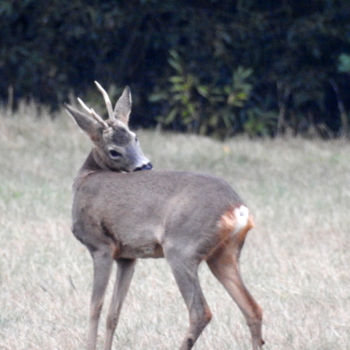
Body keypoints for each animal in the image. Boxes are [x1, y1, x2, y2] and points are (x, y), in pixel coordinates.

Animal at [64, 80, 264, 348]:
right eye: (115, 150)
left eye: (135, 137)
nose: (146, 165)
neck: (86, 177)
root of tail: (238, 208)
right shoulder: (127, 256)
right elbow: (114, 314)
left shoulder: (101, 245)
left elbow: (95, 307)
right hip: (224, 254)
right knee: (253, 308)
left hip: (182, 248)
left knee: (201, 312)